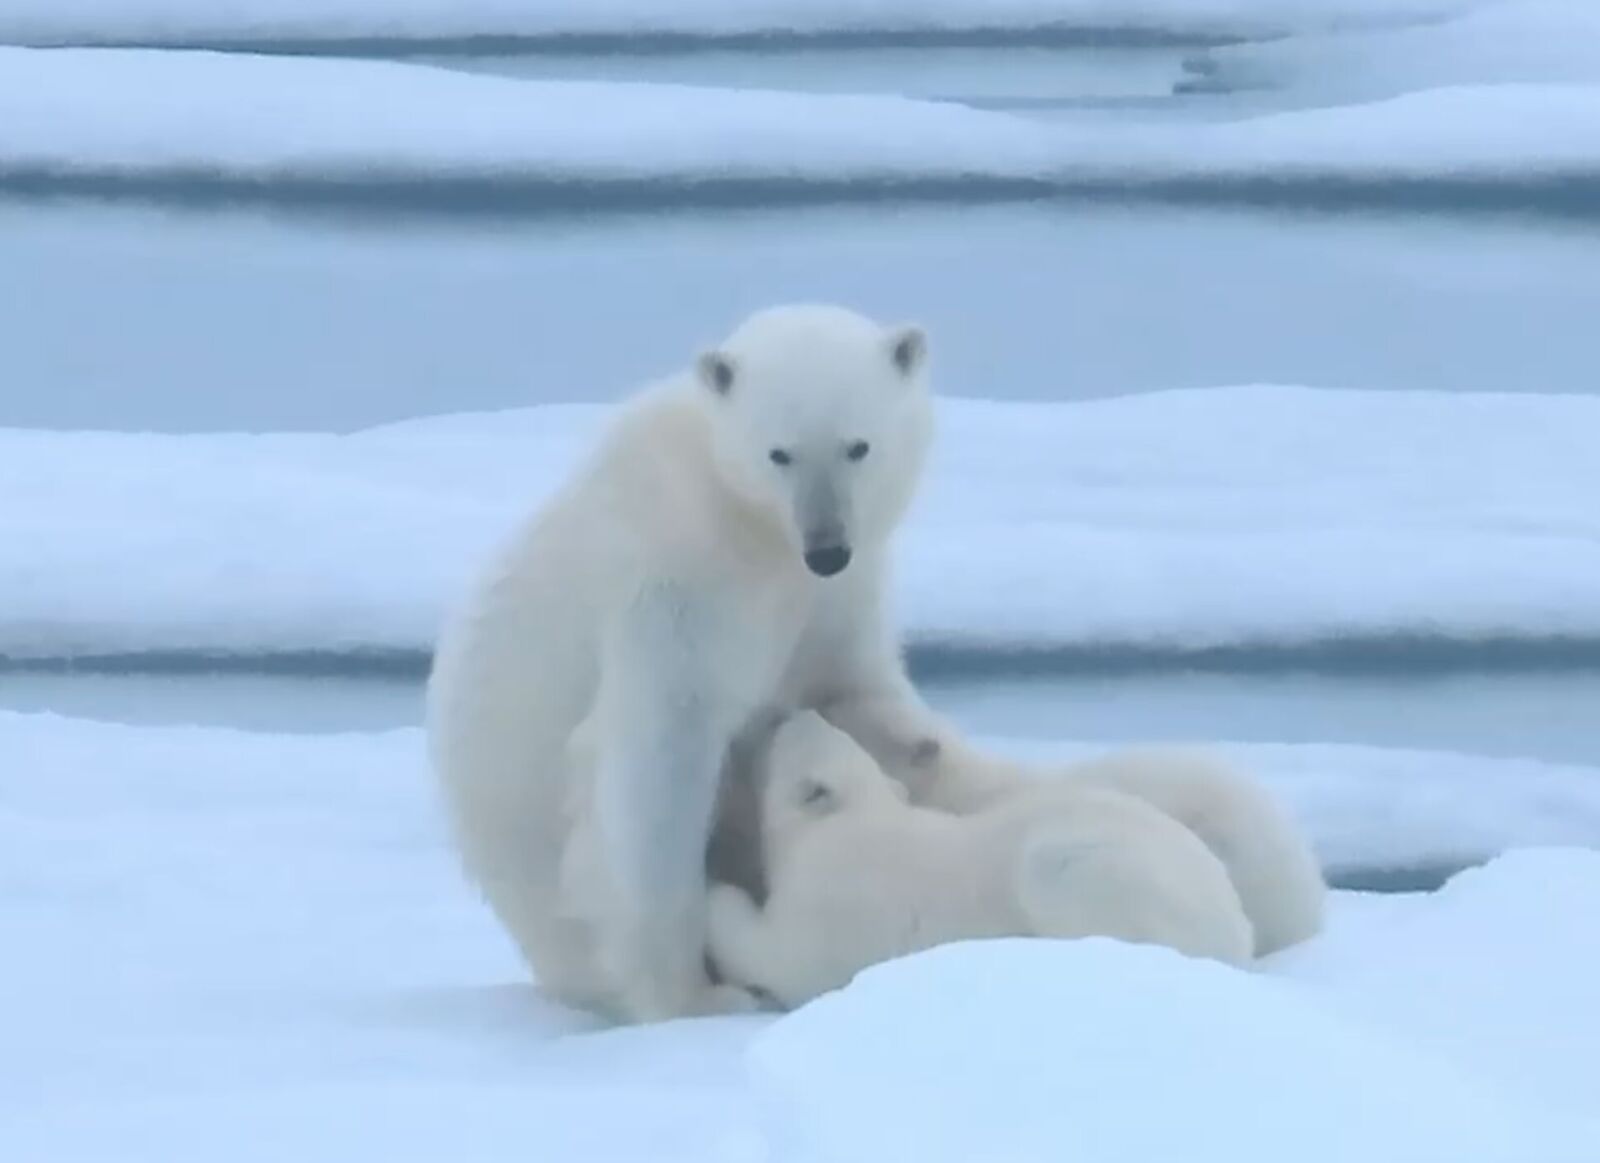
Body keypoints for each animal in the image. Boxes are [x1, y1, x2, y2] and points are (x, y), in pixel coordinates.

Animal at [425, 305, 960, 1023]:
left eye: (858, 446)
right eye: (779, 452)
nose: (826, 546)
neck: (752, 527)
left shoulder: (836, 591)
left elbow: (845, 679)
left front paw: (915, 738)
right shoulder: (674, 584)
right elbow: (660, 764)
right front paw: (693, 994)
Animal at [707, 710, 1254, 1011]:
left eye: (788, 727)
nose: (778, 713)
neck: (853, 819)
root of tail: (1237, 927)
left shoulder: (831, 901)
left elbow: (772, 952)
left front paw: (714, 890)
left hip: (1101, 876)